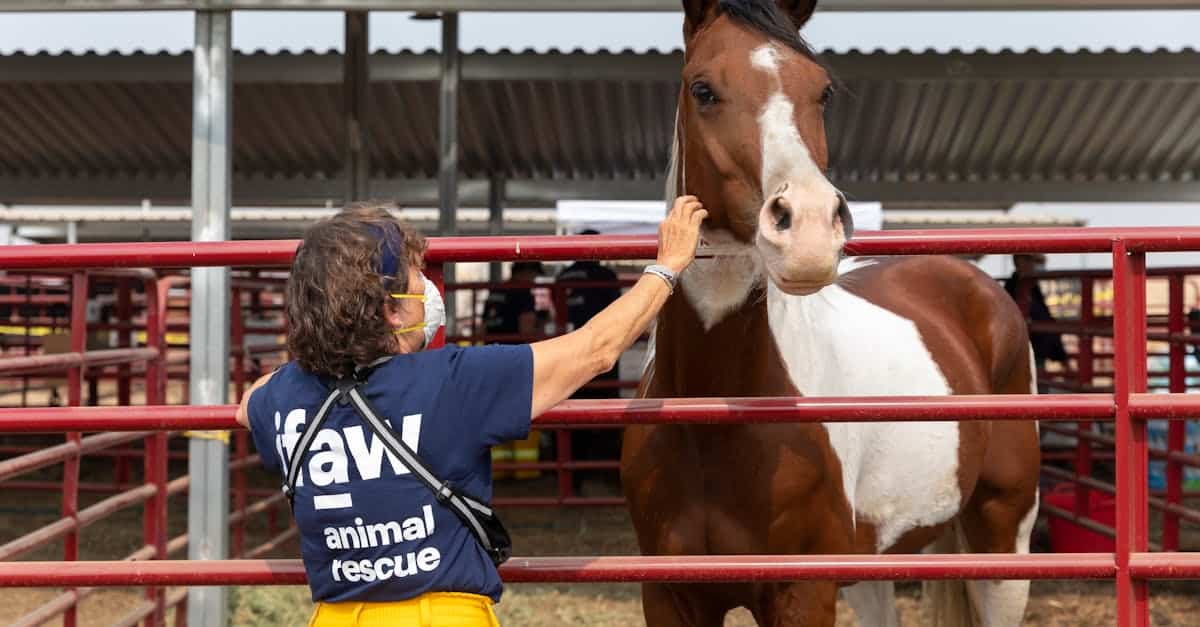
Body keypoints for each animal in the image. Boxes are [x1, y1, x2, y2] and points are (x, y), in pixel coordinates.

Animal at [619, 2, 1041, 619]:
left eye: (822, 91)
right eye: (703, 89)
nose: (811, 228)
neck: (714, 416)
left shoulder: (805, 590)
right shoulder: (670, 596)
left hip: (1003, 539)